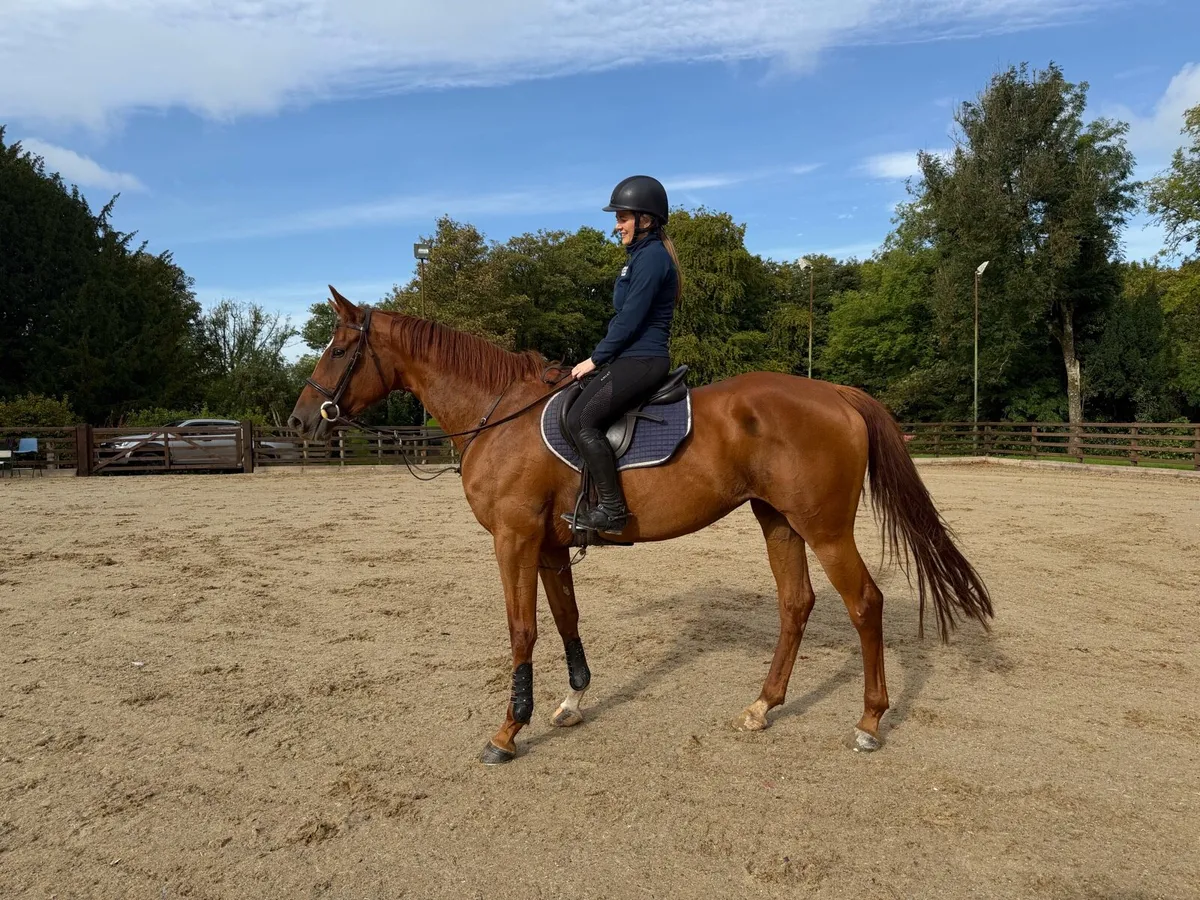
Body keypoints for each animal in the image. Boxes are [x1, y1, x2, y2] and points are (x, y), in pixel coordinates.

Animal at [288, 286, 993, 765]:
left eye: (339, 348)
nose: (299, 422)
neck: (500, 416)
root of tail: (836, 393)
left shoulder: (514, 539)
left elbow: (522, 631)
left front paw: (507, 732)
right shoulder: (549, 545)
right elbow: (565, 620)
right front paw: (572, 703)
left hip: (823, 528)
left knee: (864, 603)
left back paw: (870, 723)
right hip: (780, 521)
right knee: (797, 604)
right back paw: (763, 706)